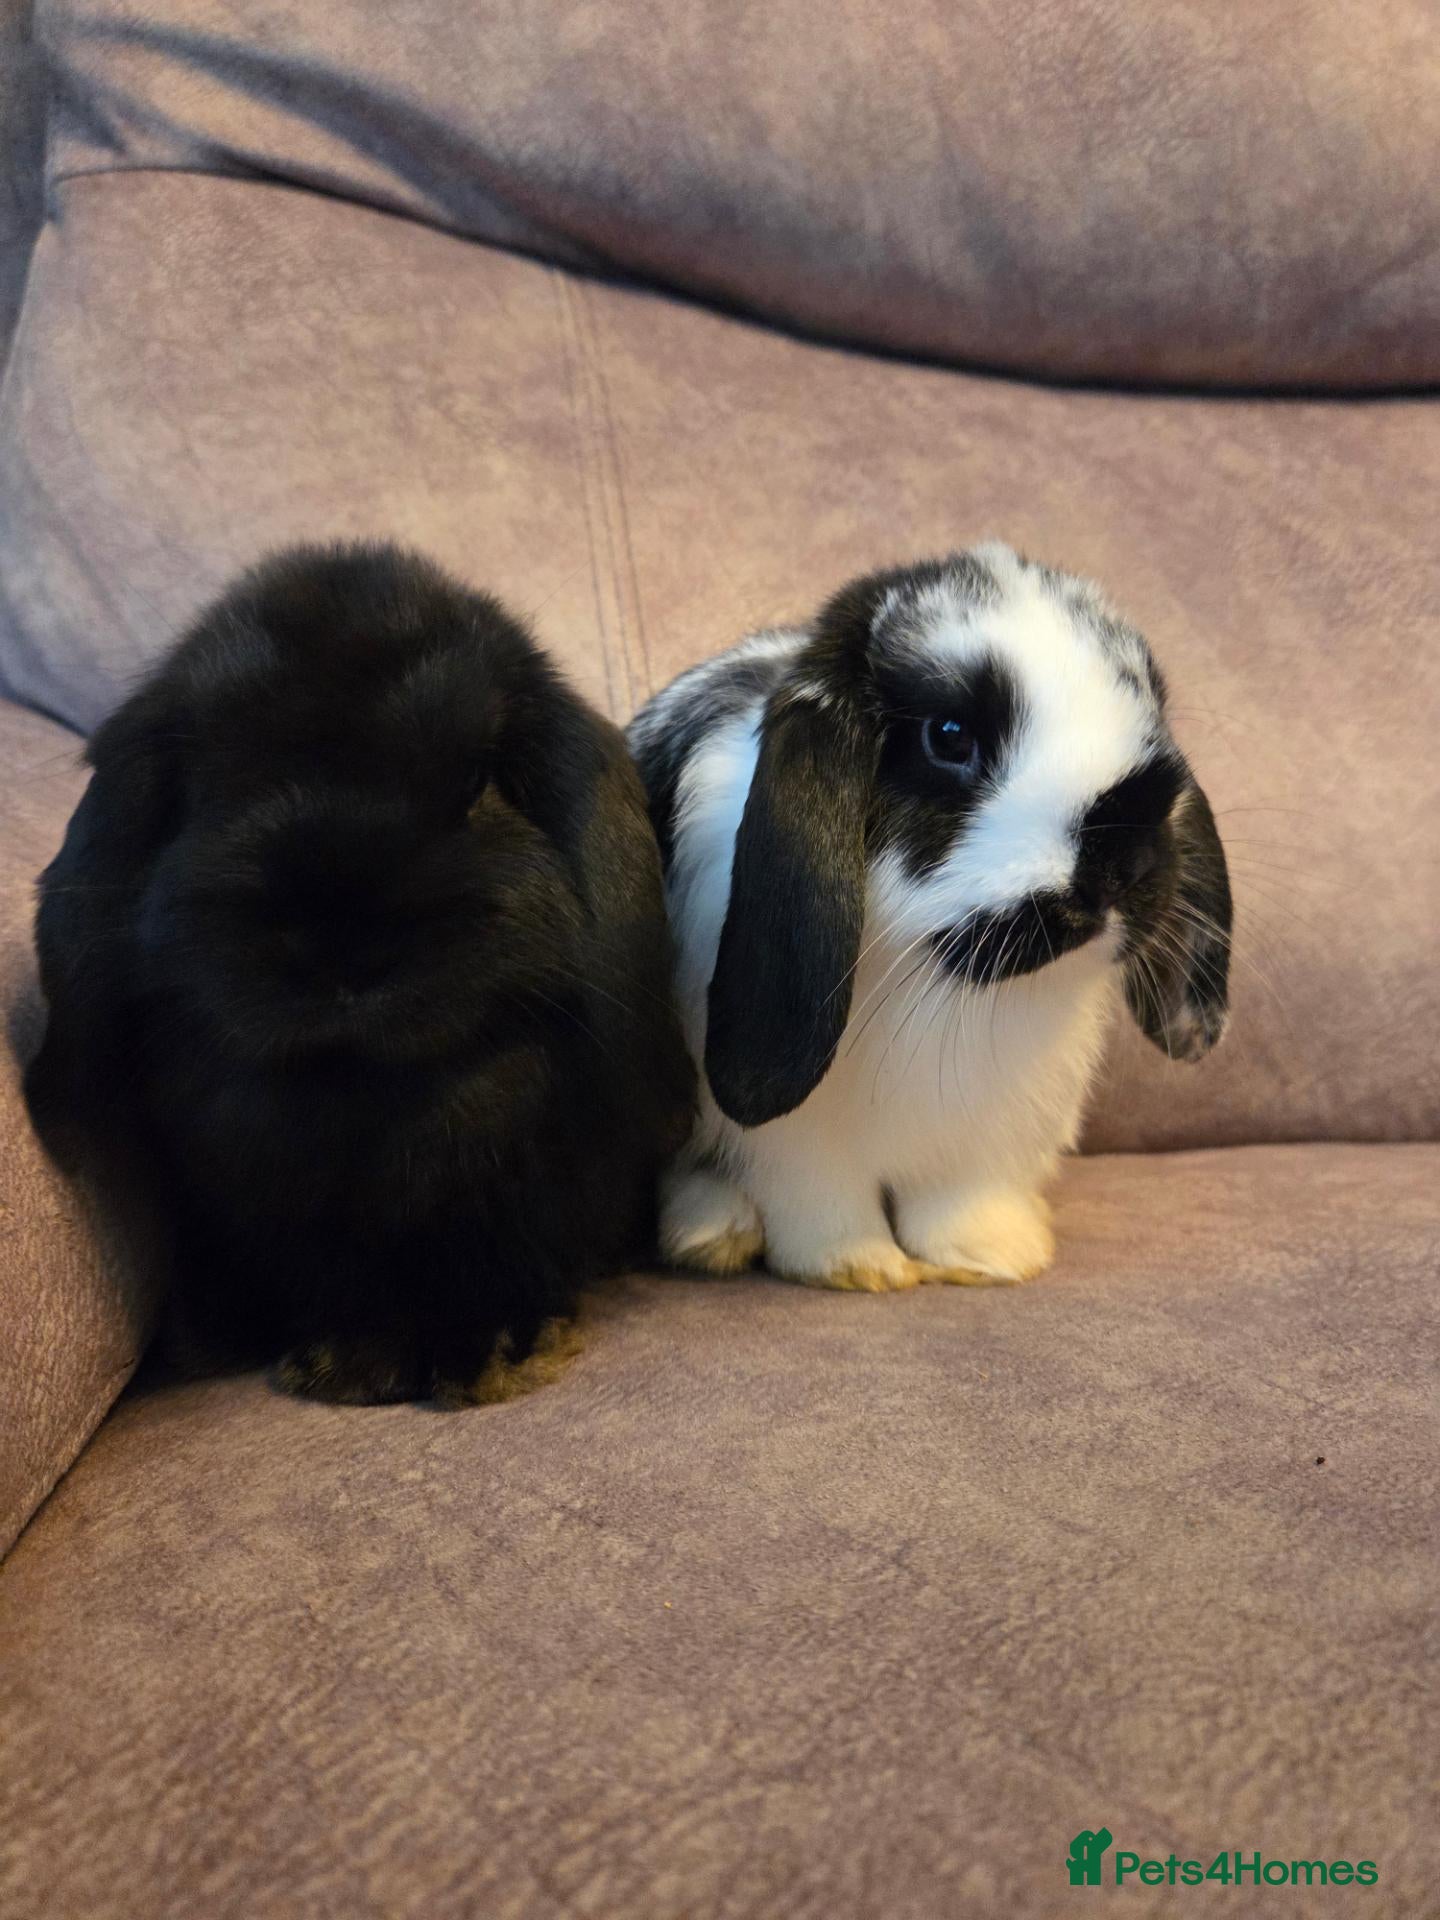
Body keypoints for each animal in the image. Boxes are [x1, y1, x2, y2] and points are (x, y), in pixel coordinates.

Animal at [627, 542, 1231, 1291]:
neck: (936, 976)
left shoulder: (977, 1145)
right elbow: (818, 1199)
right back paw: (713, 1235)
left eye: (1150, 715)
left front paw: (993, 1257)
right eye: (949, 736)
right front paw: (860, 1267)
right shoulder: (797, 1146)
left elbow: (960, 1201)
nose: (1127, 860)